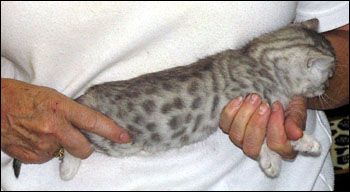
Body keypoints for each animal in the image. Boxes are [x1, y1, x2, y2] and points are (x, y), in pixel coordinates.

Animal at [13, 18, 336, 180]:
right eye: (329, 75)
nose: (325, 90)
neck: (258, 61)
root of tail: (86, 96)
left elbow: (273, 132)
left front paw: (298, 145)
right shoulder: (253, 103)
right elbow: (269, 134)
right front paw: (283, 154)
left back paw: (67, 169)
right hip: (106, 132)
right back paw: (67, 168)